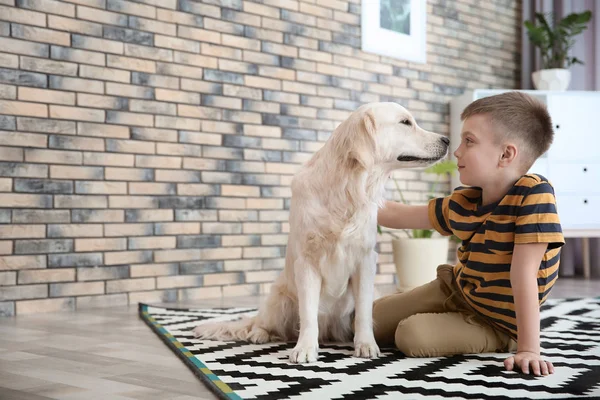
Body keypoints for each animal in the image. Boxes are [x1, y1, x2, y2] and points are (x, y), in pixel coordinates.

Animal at [193, 102, 450, 362]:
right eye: (405, 122)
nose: (447, 139)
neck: (346, 190)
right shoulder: (307, 261)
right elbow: (307, 313)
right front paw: (305, 348)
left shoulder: (365, 260)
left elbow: (364, 311)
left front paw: (366, 344)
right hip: (279, 299)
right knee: (262, 322)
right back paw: (259, 334)